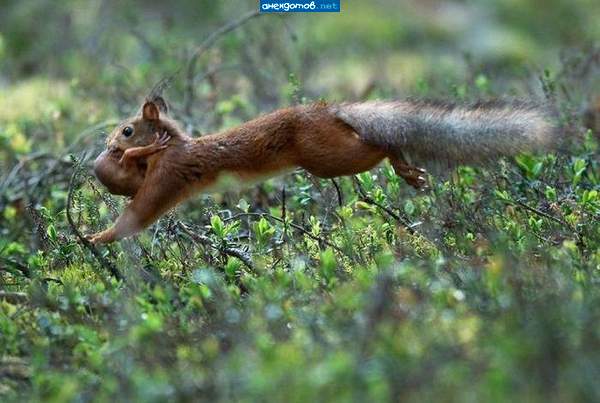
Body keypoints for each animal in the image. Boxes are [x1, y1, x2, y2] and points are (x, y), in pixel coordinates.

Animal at [87, 97, 557, 244]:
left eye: (127, 129)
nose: (107, 146)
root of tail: (331, 111)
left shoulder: (169, 172)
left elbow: (139, 213)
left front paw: (95, 237)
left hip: (327, 156)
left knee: (380, 145)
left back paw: (402, 166)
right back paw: (408, 171)